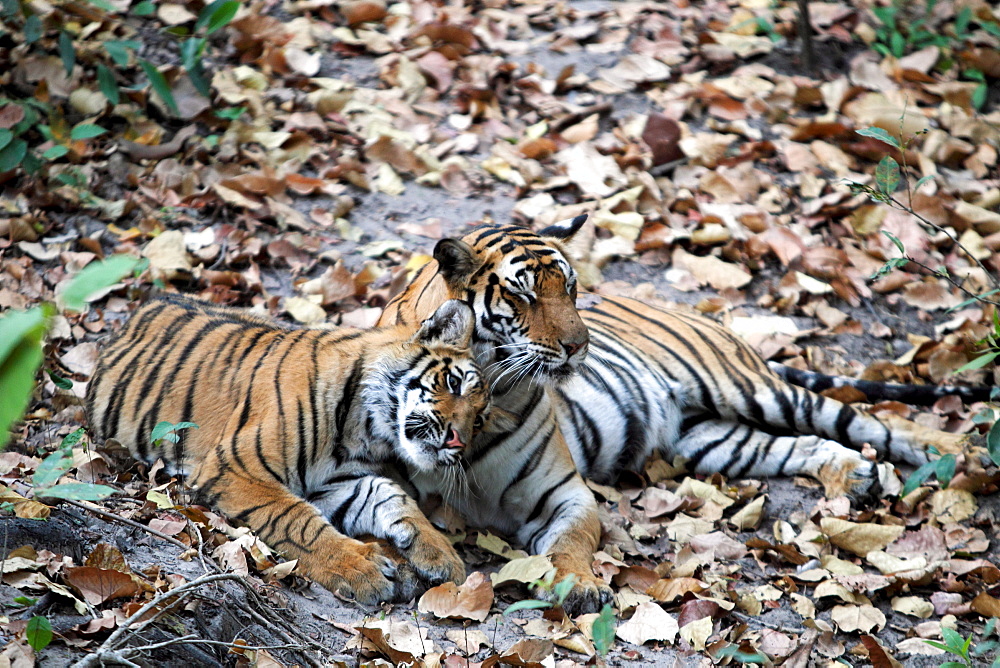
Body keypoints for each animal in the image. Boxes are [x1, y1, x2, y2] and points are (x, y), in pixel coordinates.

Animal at [376, 217, 968, 504]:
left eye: (569, 288)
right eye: (522, 296)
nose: (579, 346)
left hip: (747, 388)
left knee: (870, 422)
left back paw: (956, 453)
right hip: (710, 439)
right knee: (794, 445)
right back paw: (857, 473)